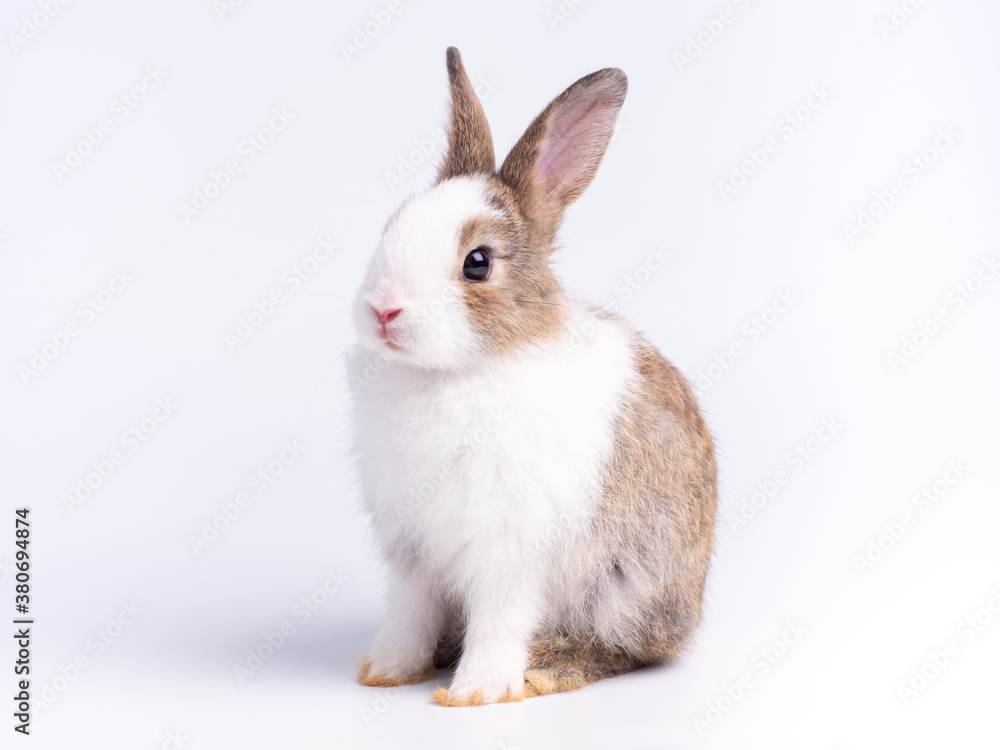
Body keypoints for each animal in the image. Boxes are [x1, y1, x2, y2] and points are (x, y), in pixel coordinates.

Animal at [348, 47, 717, 706]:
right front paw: (387, 672)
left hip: (623, 589)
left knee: (629, 651)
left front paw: (474, 692)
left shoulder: (509, 548)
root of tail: (688, 612)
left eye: (477, 263)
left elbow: (499, 615)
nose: (384, 310)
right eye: (392, 225)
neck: (451, 372)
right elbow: (409, 614)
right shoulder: (412, 552)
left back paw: (545, 668)